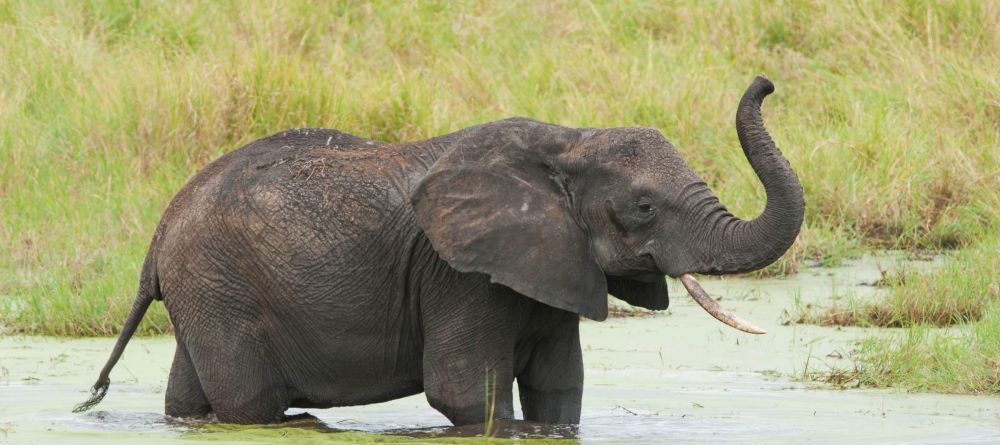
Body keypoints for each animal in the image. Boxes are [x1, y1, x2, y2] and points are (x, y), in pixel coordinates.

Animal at [74, 77, 804, 426]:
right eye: (645, 207)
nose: (766, 84)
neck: (568, 140)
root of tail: (160, 232)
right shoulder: (458, 273)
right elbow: (465, 392)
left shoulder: (549, 261)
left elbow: (558, 388)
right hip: (220, 287)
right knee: (251, 406)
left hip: (204, 292)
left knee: (188, 398)